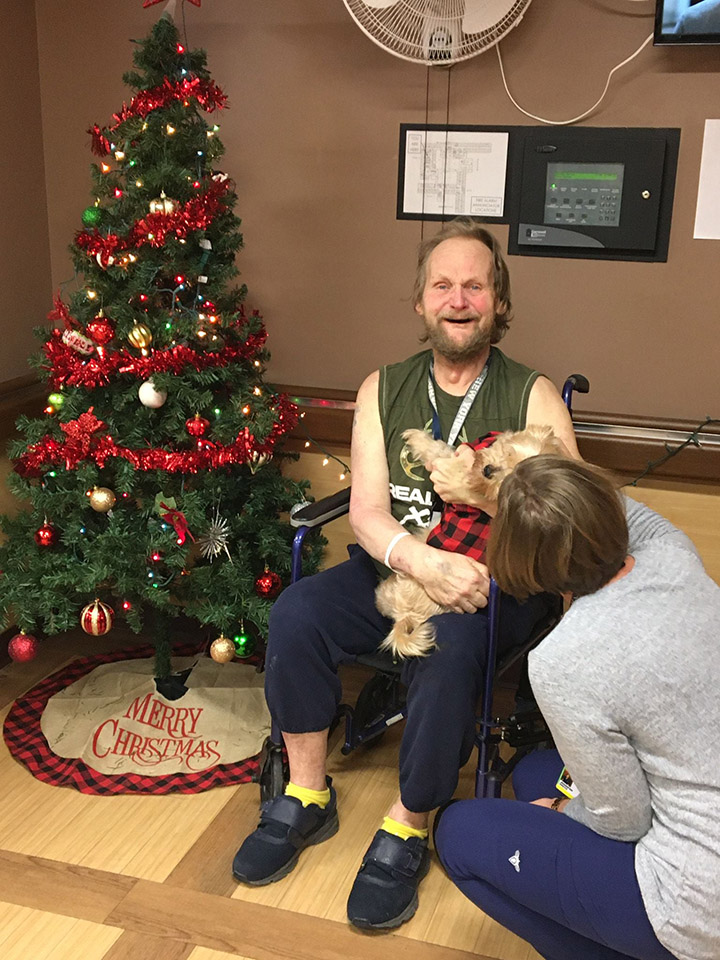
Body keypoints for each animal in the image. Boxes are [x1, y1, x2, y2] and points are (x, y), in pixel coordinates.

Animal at [376, 428, 564, 660]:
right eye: (507, 452)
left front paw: (416, 437)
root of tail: (404, 616)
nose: (488, 470)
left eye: (510, 483)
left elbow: (439, 451)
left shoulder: (453, 469)